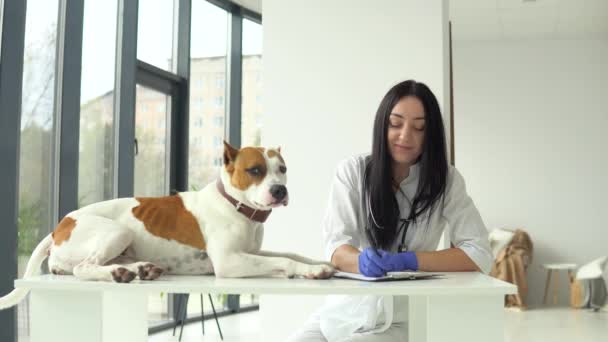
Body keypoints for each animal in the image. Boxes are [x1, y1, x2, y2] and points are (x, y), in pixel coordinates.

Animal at [0, 142, 334, 310]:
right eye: (254, 170)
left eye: (283, 169)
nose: (280, 190)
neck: (237, 206)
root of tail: (60, 224)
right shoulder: (230, 262)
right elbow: (285, 261)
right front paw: (312, 271)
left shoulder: (252, 251)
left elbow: (291, 253)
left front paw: (319, 262)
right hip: (117, 231)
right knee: (84, 268)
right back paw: (120, 274)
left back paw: (138, 269)